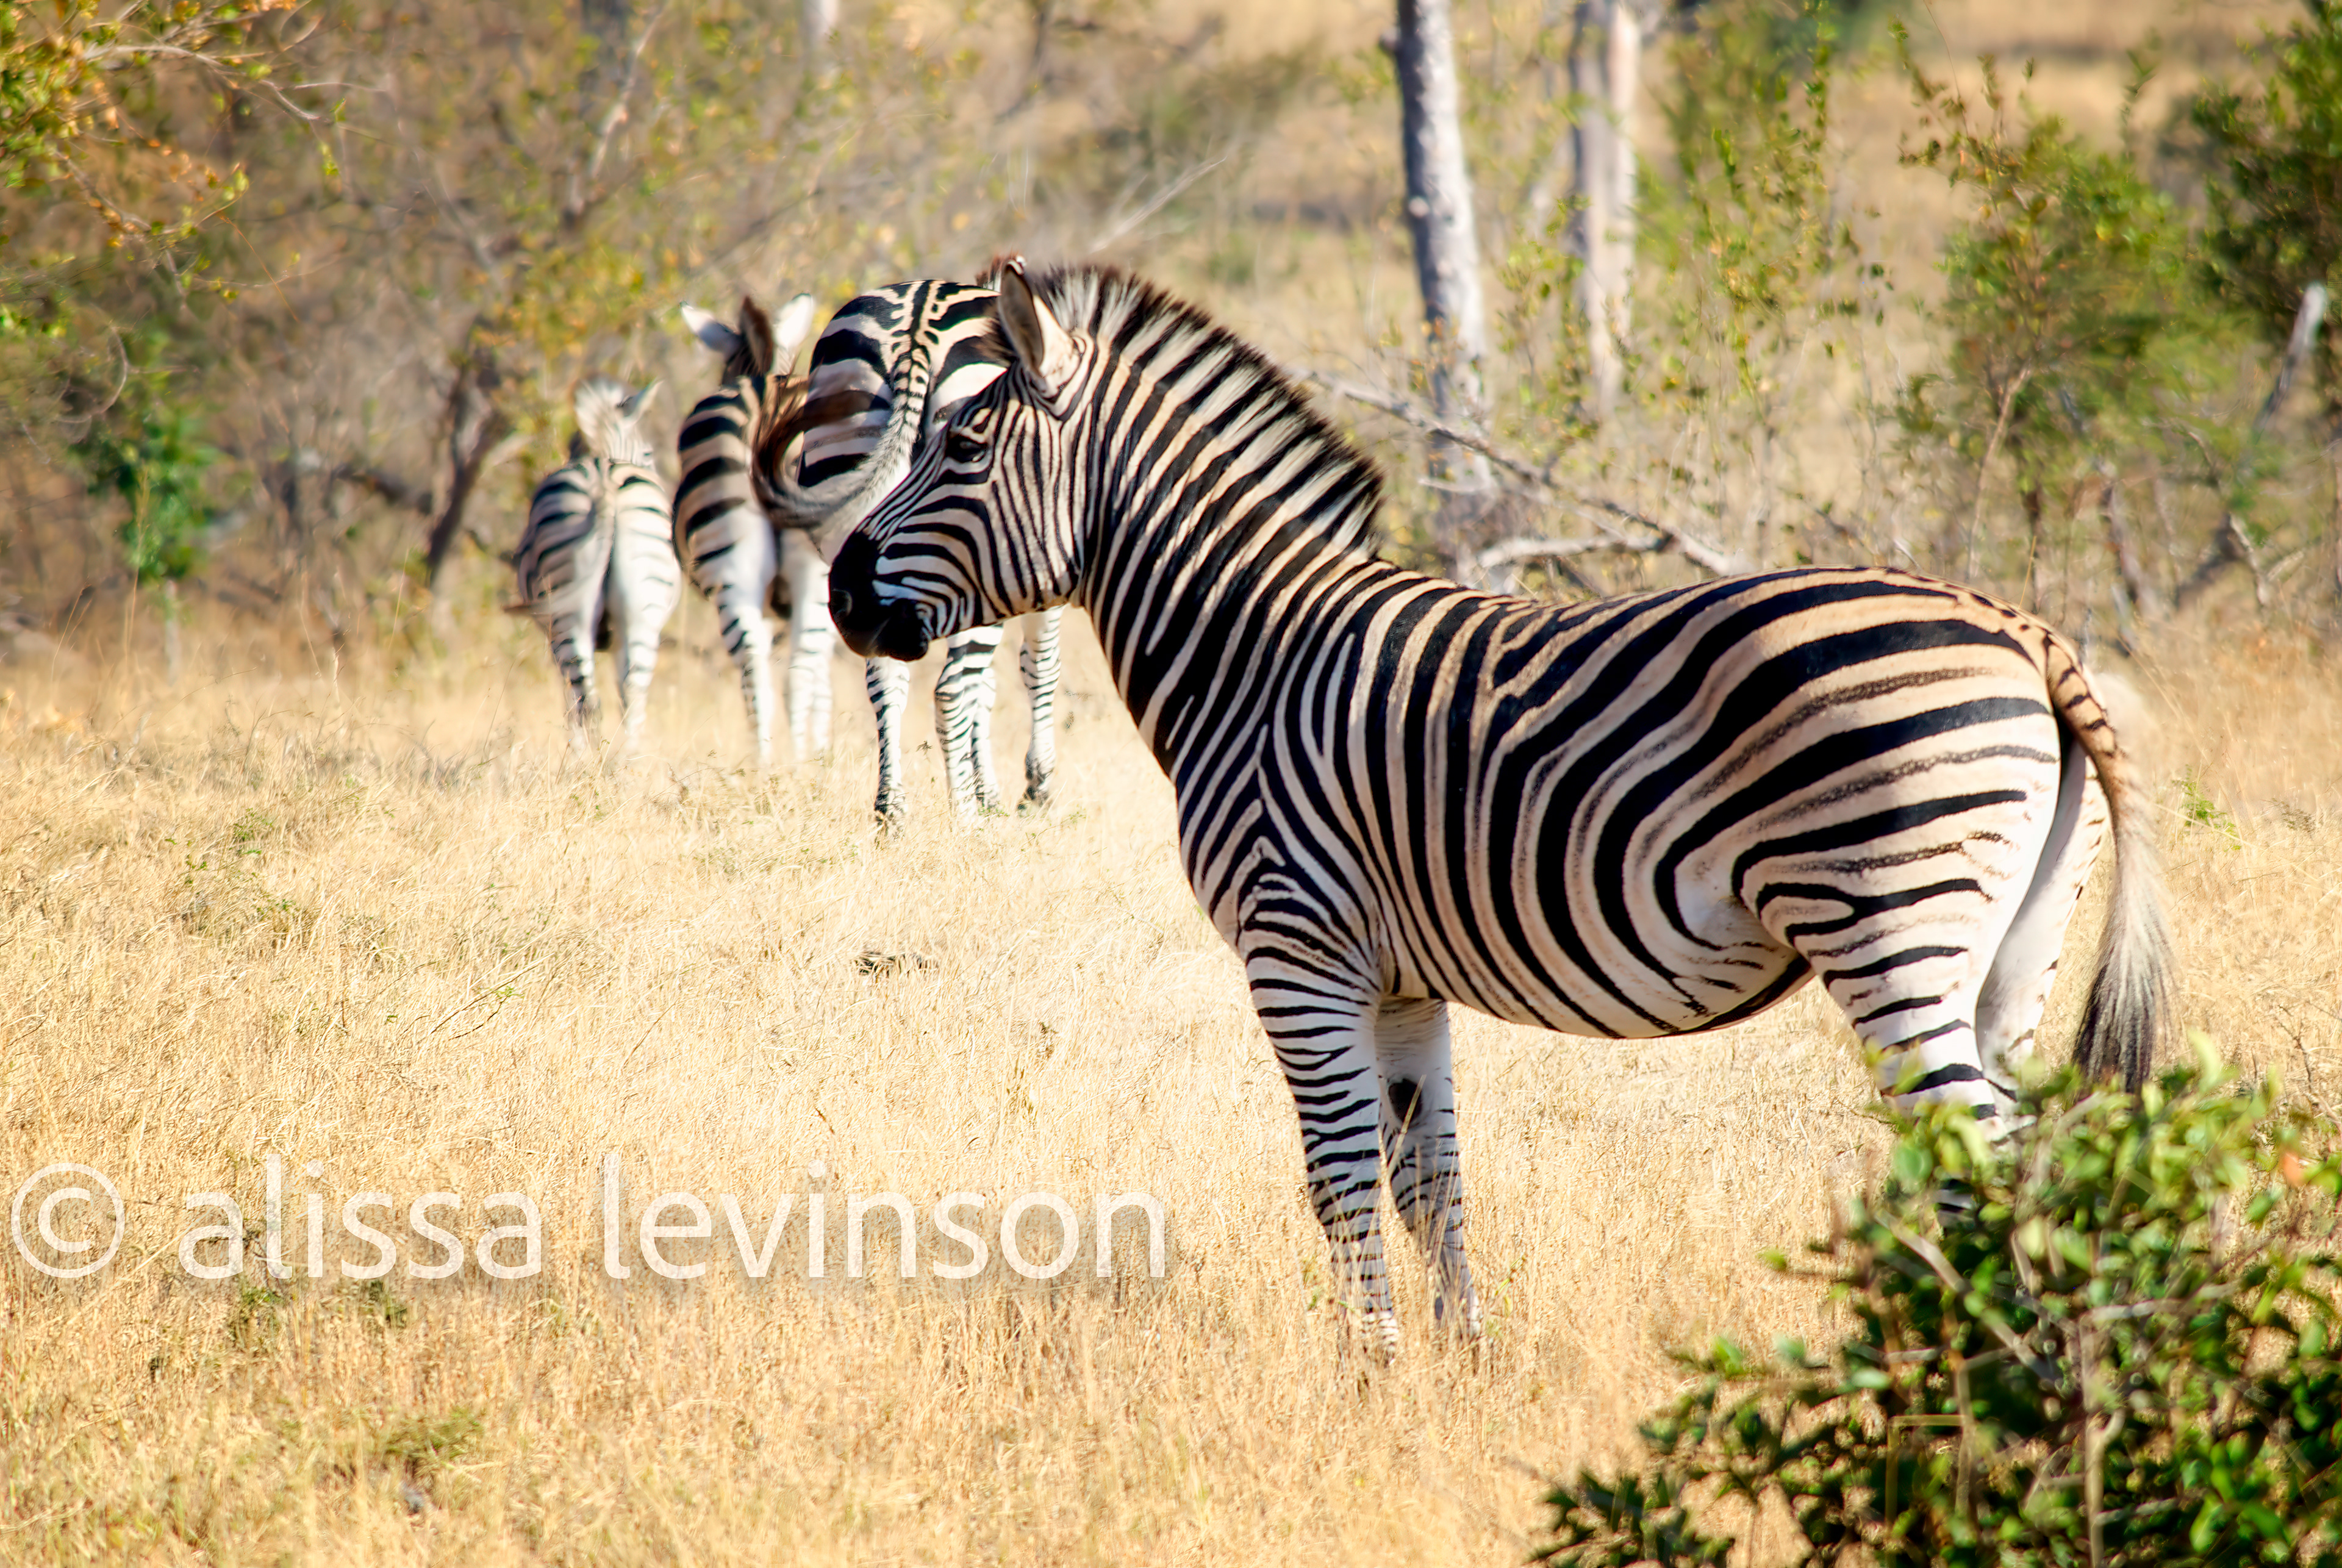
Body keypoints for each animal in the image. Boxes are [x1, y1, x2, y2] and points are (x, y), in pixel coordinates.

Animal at [510, 375, 681, 756]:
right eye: (649, 453)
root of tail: (604, 480)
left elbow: (572, 703)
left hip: (566, 613)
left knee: (588, 699)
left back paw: (592, 763)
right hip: (637, 610)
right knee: (625, 695)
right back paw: (620, 763)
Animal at [675, 293, 823, 767]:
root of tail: (768, 396)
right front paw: (822, 750)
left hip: (736, 569)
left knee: (764, 670)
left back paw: (772, 766)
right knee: (794, 670)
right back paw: (793, 766)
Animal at [761, 279, 1065, 823]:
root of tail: (918, 324)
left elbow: (989, 686)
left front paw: (990, 790)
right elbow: (1037, 669)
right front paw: (1035, 789)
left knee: (887, 676)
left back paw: (893, 809)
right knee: (950, 687)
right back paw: (962, 815)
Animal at [826, 260, 2172, 1356]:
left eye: (961, 448)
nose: (838, 590)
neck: (1247, 649)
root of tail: (2027, 630)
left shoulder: (1294, 950)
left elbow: (1337, 1181)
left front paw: (1367, 1376)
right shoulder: (1400, 982)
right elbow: (1430, 1182)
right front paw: (1460, 1363)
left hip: (1889, 920)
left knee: (1981, 1162)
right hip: (2011, 956)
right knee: (2027, 1162)